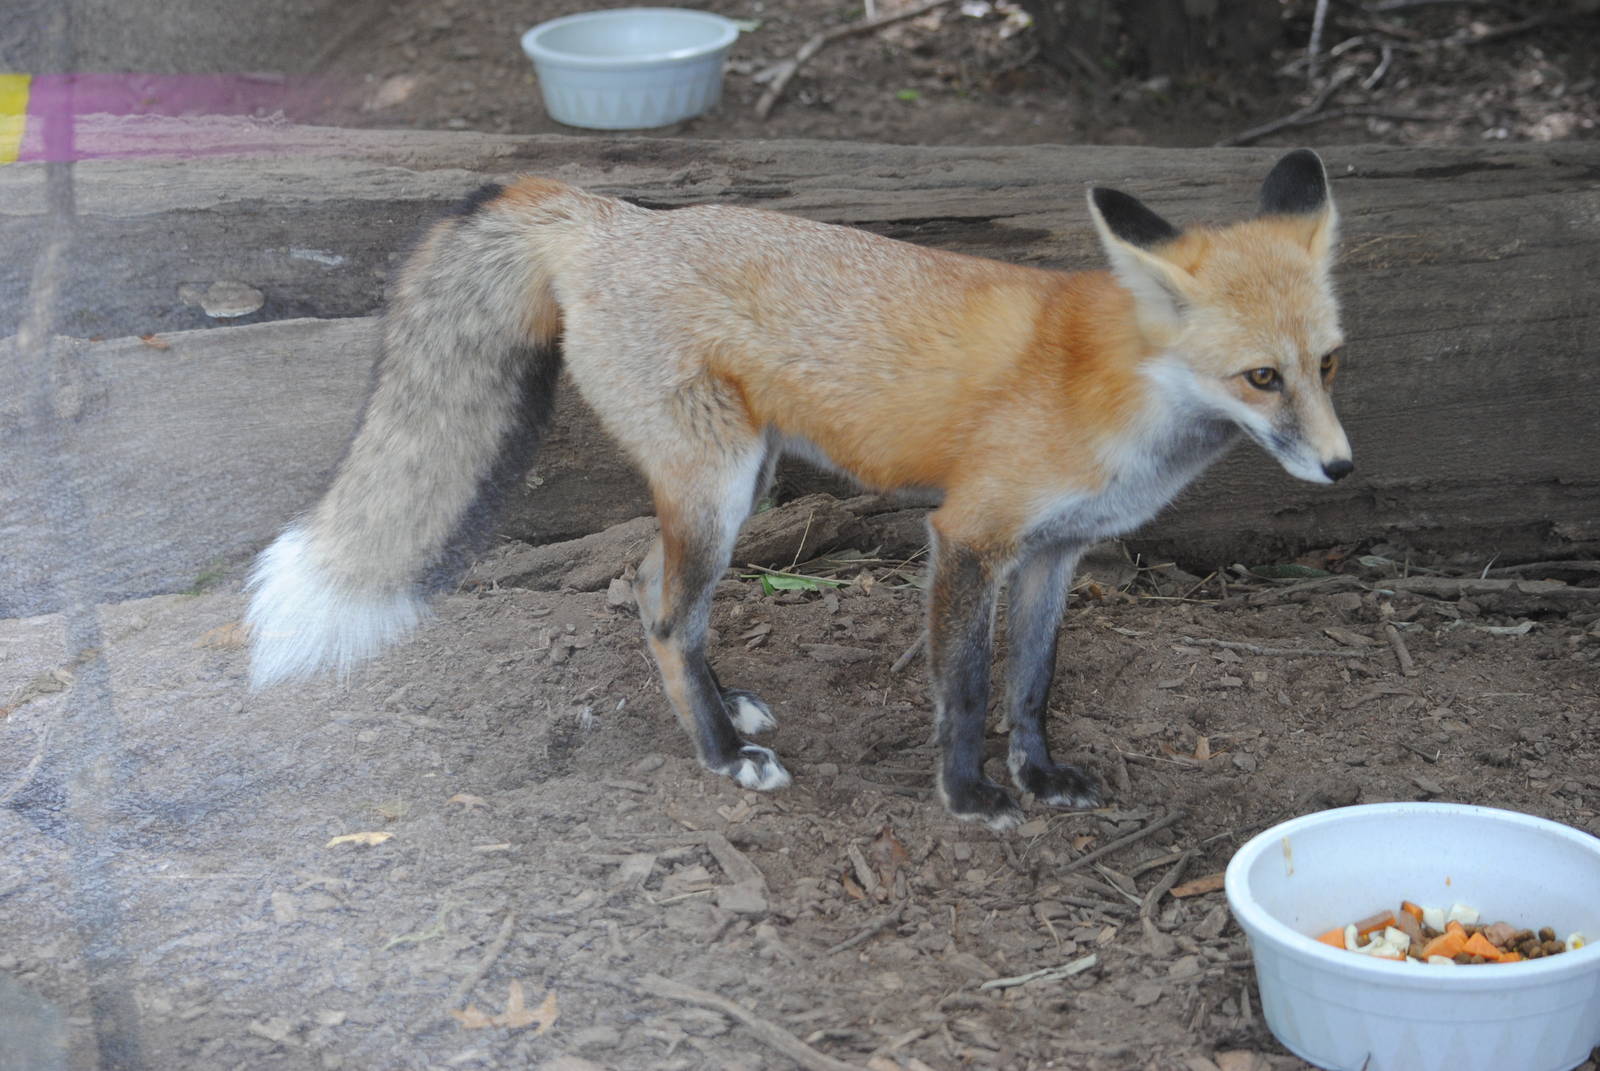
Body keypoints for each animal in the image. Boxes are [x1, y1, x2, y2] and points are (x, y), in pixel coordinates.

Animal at [246, 148, 1352, 831]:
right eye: (1262, 377)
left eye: (1329, 363)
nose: (1341, 468)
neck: (1116, 387)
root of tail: (612, 218)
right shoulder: (967, 535)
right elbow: (965, 689)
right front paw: (969, 796)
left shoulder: (1056, 552)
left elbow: (1031, 683)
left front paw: (1038, 775)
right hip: (721, 488)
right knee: (668, 619)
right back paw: (722, 754)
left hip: (728, 484)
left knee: (647, 586)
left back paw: (727, 709)